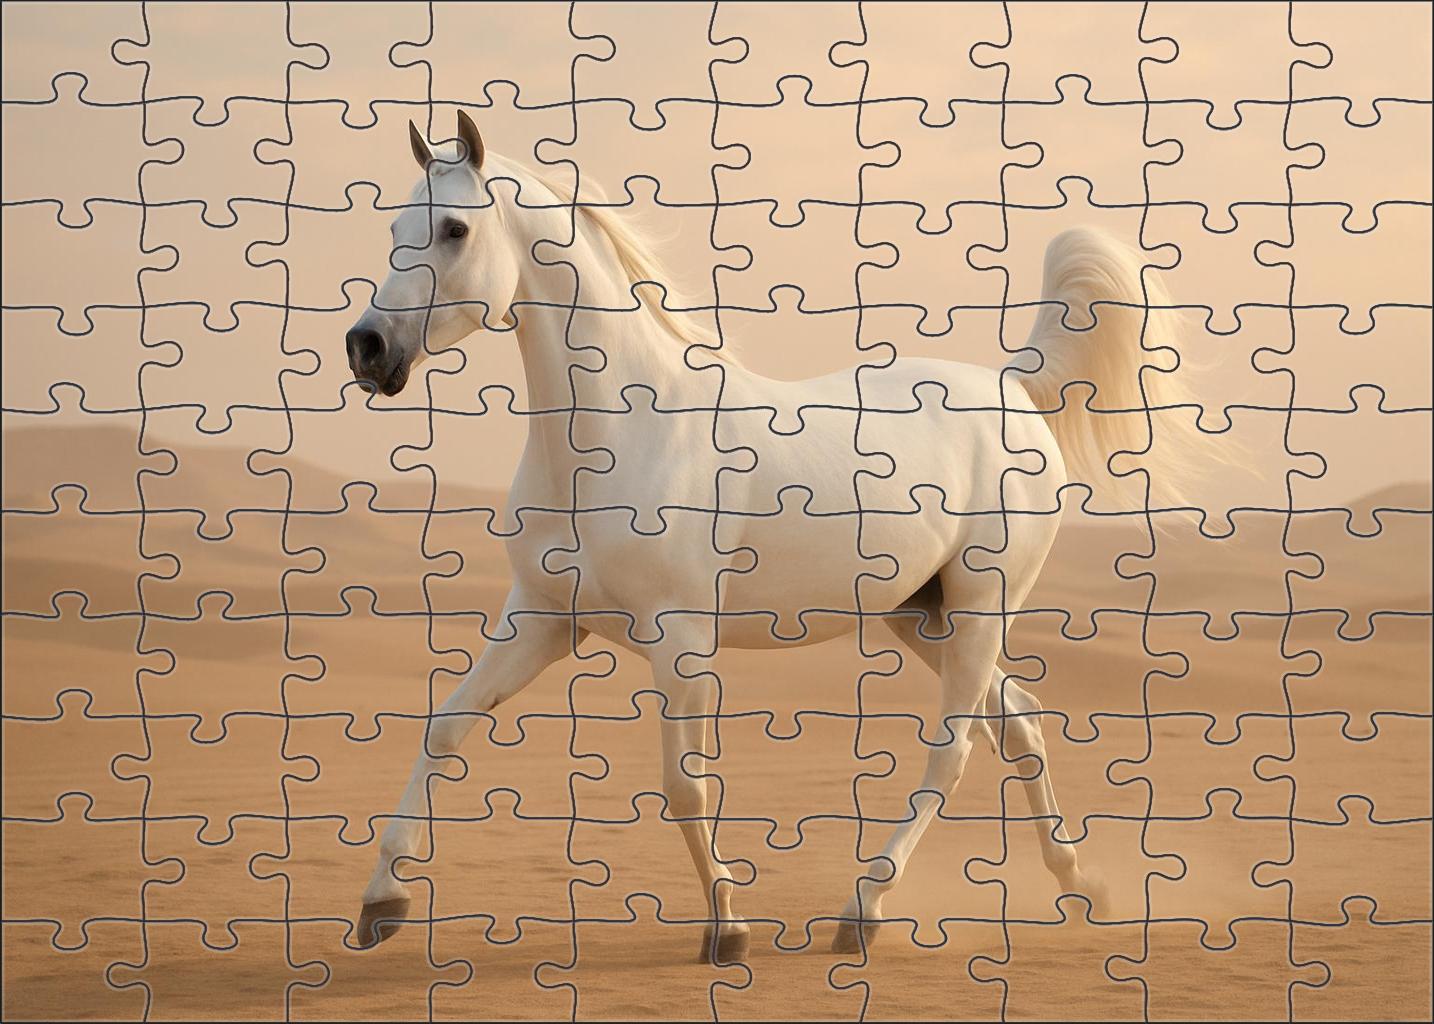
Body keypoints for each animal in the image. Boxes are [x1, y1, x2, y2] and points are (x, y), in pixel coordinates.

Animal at [346, 111, 1197, 963]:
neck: (621, 432)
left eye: (455, 228)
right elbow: (446, 728)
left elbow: (685, 785)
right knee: (1019, 724)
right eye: (392, 227)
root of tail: (1014, 388)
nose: (368, 349)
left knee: (953, 751)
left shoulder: (681, 640)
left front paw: (728, 927)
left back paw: (864, 909)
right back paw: (1081, 885)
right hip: (925, 616)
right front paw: (382, 902)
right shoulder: (543, 621)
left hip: (983, 609)